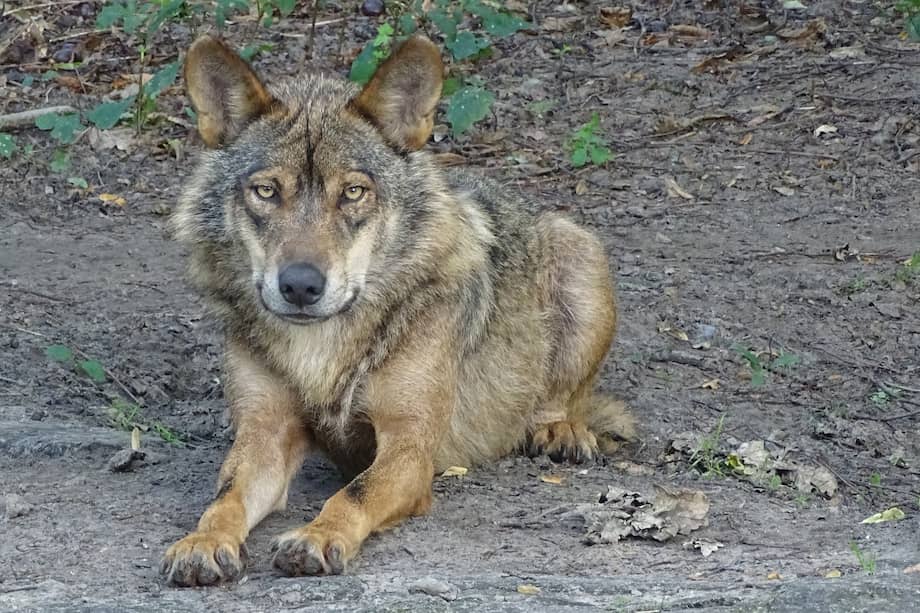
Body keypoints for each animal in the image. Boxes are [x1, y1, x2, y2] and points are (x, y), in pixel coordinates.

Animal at [160, 33, 635, 586]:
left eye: (353, 192)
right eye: (266, 191)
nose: (300, 285)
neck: (321, 349)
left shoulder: (409, 447)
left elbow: (353, 494)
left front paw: (317, 536)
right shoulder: (264, 434)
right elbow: (225, 497)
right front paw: (203, 542)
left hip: (580, 253)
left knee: (564, 398)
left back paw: (558, 429)